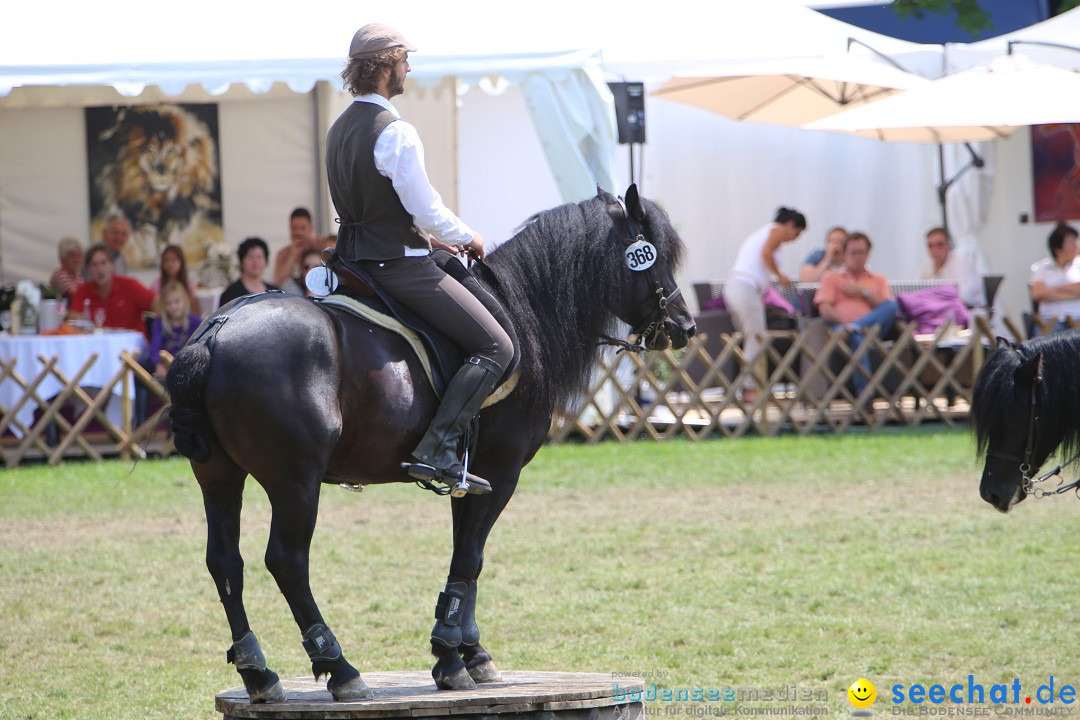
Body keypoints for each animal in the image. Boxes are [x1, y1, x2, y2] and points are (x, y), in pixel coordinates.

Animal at [164, 187, 695, 703]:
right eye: (650, 253)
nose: (685, 326)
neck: (523, 310)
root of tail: (216, 333)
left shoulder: (471, 478)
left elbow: (466, 559)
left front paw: (471, 653)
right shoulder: (501, 472)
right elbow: (470, 558)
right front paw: (449, 657)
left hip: (220, 477)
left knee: (225, 563)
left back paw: (258, 673)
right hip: (295, 482)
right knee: (287, 562)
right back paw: (340, 668)